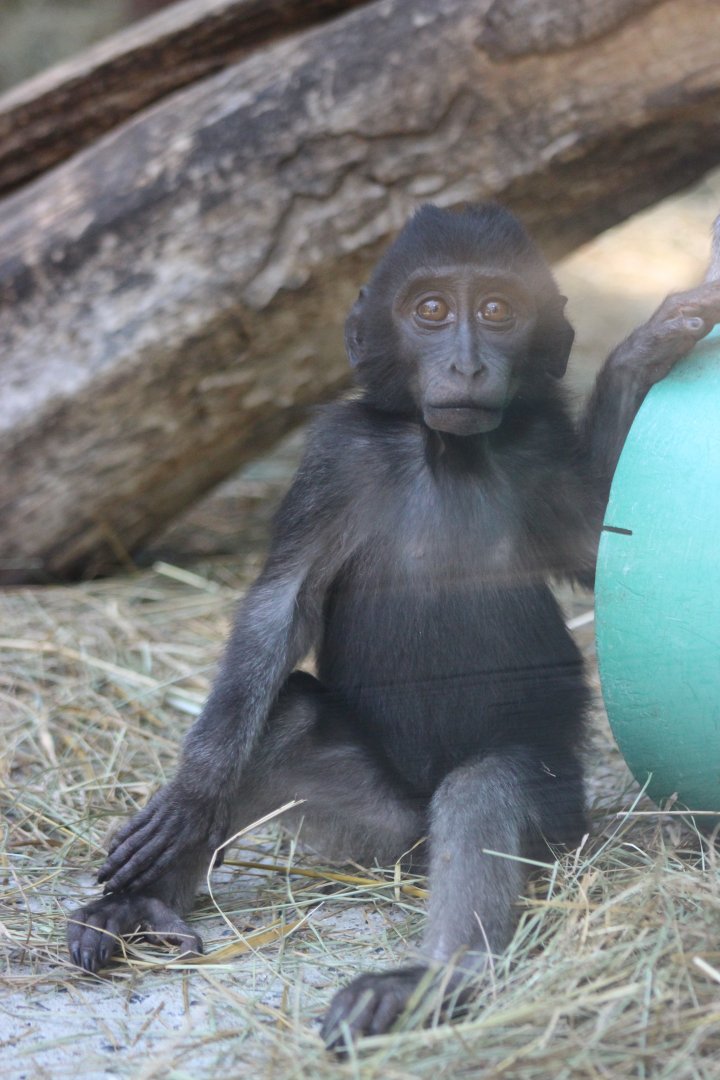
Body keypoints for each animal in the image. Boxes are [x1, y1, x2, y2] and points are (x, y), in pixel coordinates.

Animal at [67, 204, 720, 1048]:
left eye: (498, 310)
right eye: (432, 310)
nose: (467, 366)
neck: (443, 449)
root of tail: (414, 835)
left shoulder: (535, 442)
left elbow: (592, 544)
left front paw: (646, 346)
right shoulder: (333, 456)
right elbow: (282, 606)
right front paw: (192, 792)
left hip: (553, 814)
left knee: (483, 788)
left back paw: (434, 979)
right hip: (371, 822)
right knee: (288, 713)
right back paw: (143, 904)